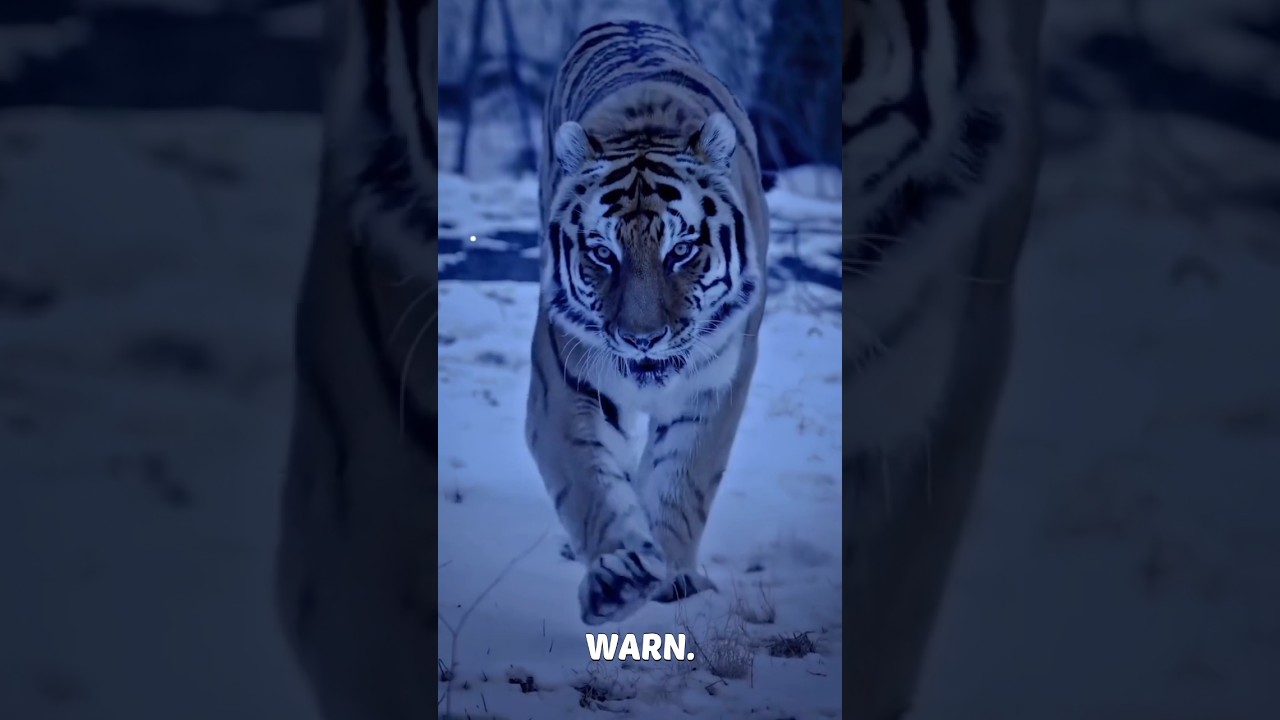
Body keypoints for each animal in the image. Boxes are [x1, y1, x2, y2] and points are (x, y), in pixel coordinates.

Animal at [526, 20, 770, 626]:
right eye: (602, 254)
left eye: (680, 251)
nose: (642, 340)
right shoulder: (562, 386)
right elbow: (590, 485)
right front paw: (621, 578)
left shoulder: (718, 384)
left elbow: (685, 478)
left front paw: (673, 577)